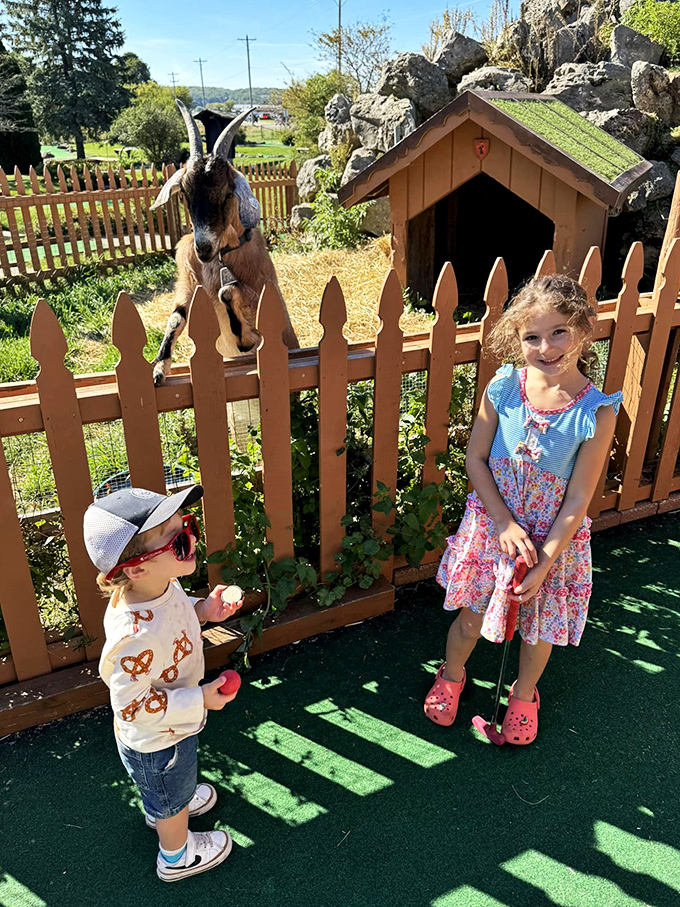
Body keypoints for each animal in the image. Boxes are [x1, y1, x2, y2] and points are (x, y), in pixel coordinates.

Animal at [149, 101, 298, 384]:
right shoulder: (187, 285)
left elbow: (227, 291)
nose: (204, 247)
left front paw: (243, 339)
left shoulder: (263, 294)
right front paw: (159, 369)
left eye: (228, 193)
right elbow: (176, 317)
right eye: (185, 193)